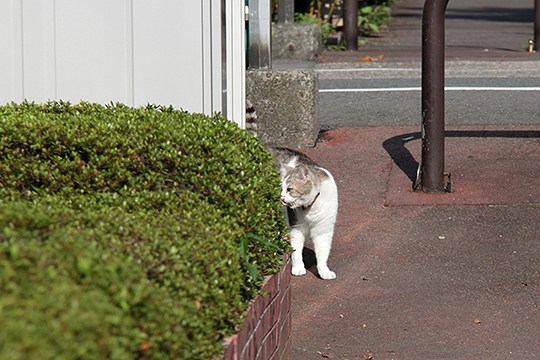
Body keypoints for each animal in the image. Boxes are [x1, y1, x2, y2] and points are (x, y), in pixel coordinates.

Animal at [246, 100, 338, 280]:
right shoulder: (296, 227)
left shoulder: (323, 230)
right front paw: (298, 268)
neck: (310, 207)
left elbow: (322, 252)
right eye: (281, 188)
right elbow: (296, 250)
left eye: (289, 189)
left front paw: (324, 271)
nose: (281, 198)